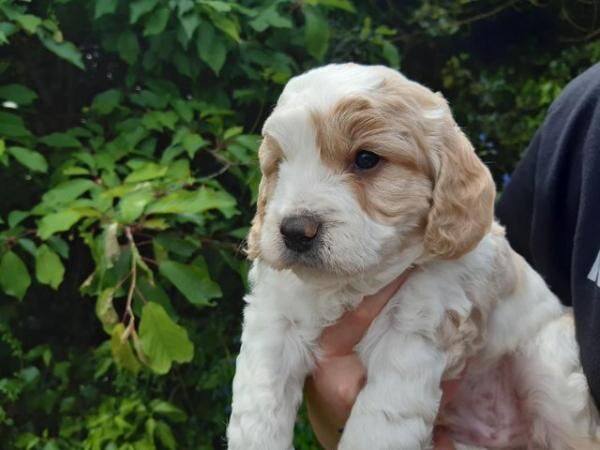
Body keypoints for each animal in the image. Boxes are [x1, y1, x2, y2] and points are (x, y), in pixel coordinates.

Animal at [226, 64, 600, 450]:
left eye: (366, 159)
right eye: (279, 164)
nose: (296, 230)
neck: (350, 283)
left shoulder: (418, 326)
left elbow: (379, 421)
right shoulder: (273, 316)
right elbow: (257, 403)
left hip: (548, 364)